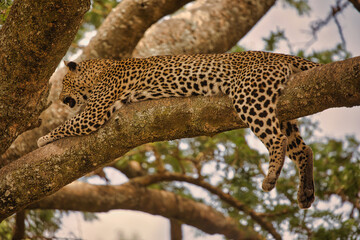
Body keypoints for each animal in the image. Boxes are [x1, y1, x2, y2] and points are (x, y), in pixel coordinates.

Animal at [38, 50, 320, 208]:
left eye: (64, 83)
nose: (60, 99)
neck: (100, 70)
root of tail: (280, 55)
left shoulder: (95, 111)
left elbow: (69, 123)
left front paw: (43, 139)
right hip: (282, 107)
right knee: (303, 148)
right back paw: (305, 191)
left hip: (249, 95)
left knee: (277, 139)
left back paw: (271, 176)